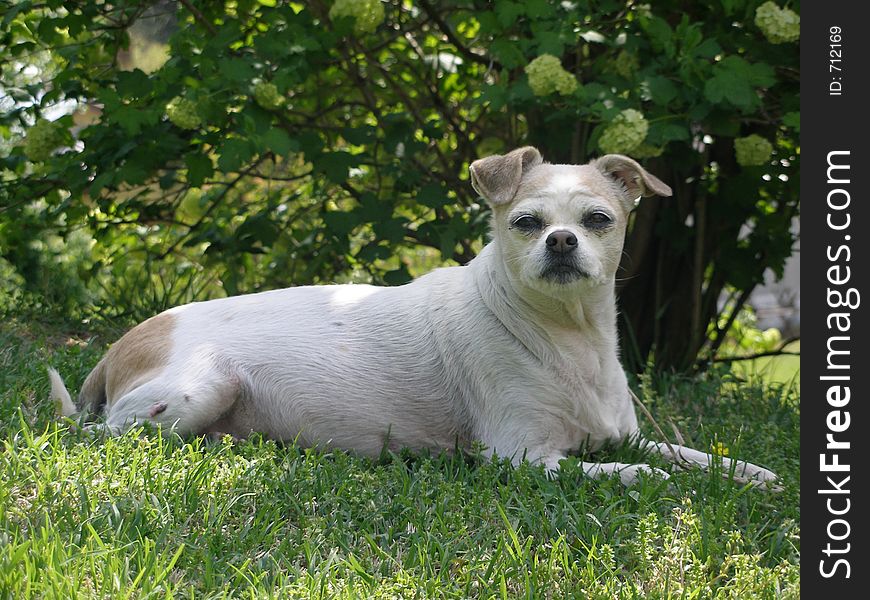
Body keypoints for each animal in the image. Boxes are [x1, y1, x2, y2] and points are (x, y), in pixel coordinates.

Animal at [49, 146, 784, 488]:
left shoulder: (623, 435)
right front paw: (652, 482)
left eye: (598, 219)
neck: (569, 337)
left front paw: (751, 475)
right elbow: (633, 472)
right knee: (106, 434)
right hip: (193, 393)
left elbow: (693, 454)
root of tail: (118, 348)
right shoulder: (522, 458)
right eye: (526, 222)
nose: (561, 241)